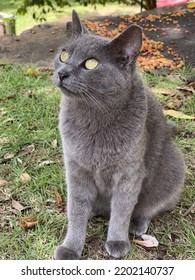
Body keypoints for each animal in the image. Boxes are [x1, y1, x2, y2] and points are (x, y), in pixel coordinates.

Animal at [52, 10, 186, 260]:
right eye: (64, 55)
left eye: (91, 63)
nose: (62, 73)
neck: (92, 117)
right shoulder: (75, 169)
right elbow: (76, 210)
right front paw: (70, 247)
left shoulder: (129, 173)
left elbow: (122, 211)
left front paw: (116, 241)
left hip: (173, 164)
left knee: (150, 206)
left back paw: (137, 225)